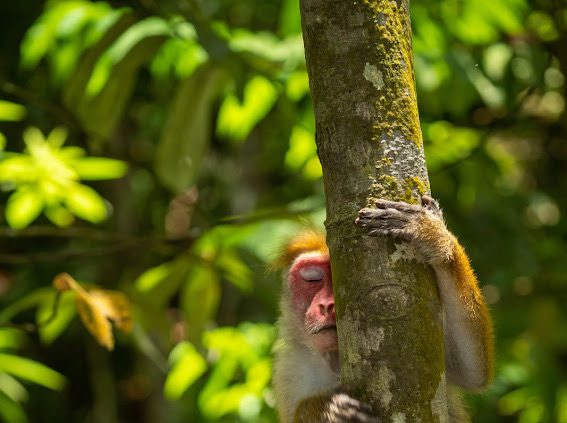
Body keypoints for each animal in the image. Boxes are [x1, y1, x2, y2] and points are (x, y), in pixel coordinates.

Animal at [273, 196, 494, 422]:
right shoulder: (289, 372)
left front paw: (432, 235)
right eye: (313, 279)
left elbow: (472, 372)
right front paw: (325, 410)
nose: (326, 305)